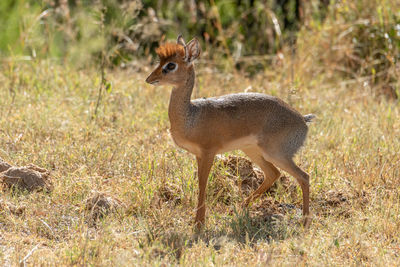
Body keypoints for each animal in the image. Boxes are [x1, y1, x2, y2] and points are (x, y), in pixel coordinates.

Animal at [145, 34, 316, 229]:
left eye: (171, 65)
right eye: (160, 61)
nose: (149, 79)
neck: (191, 116)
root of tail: (303, 120)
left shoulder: (208, 153)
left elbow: (202, 184)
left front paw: (199, 224)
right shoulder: (198, 155)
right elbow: (201, 184)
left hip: (276, 153)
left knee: (304, 176)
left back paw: (305, 221)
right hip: (253, 151)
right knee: (274, 174)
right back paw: (240, 207)